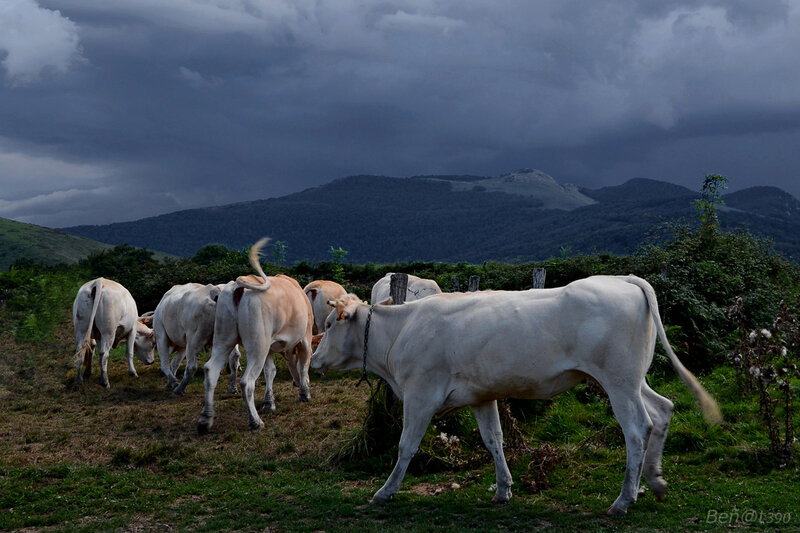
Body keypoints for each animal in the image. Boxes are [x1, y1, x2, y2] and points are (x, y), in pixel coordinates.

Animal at [195, 237, 314, 432]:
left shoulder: (270, 349)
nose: (295, 383)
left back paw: (205, 420)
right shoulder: (304, 339)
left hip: (224, 339)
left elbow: (270, 372)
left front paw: (269, 403)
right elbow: (303, 366)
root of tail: (238, 288)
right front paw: (305, 393)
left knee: (210, 370)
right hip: (258, 346)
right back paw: (255, 421)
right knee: (247, 382)